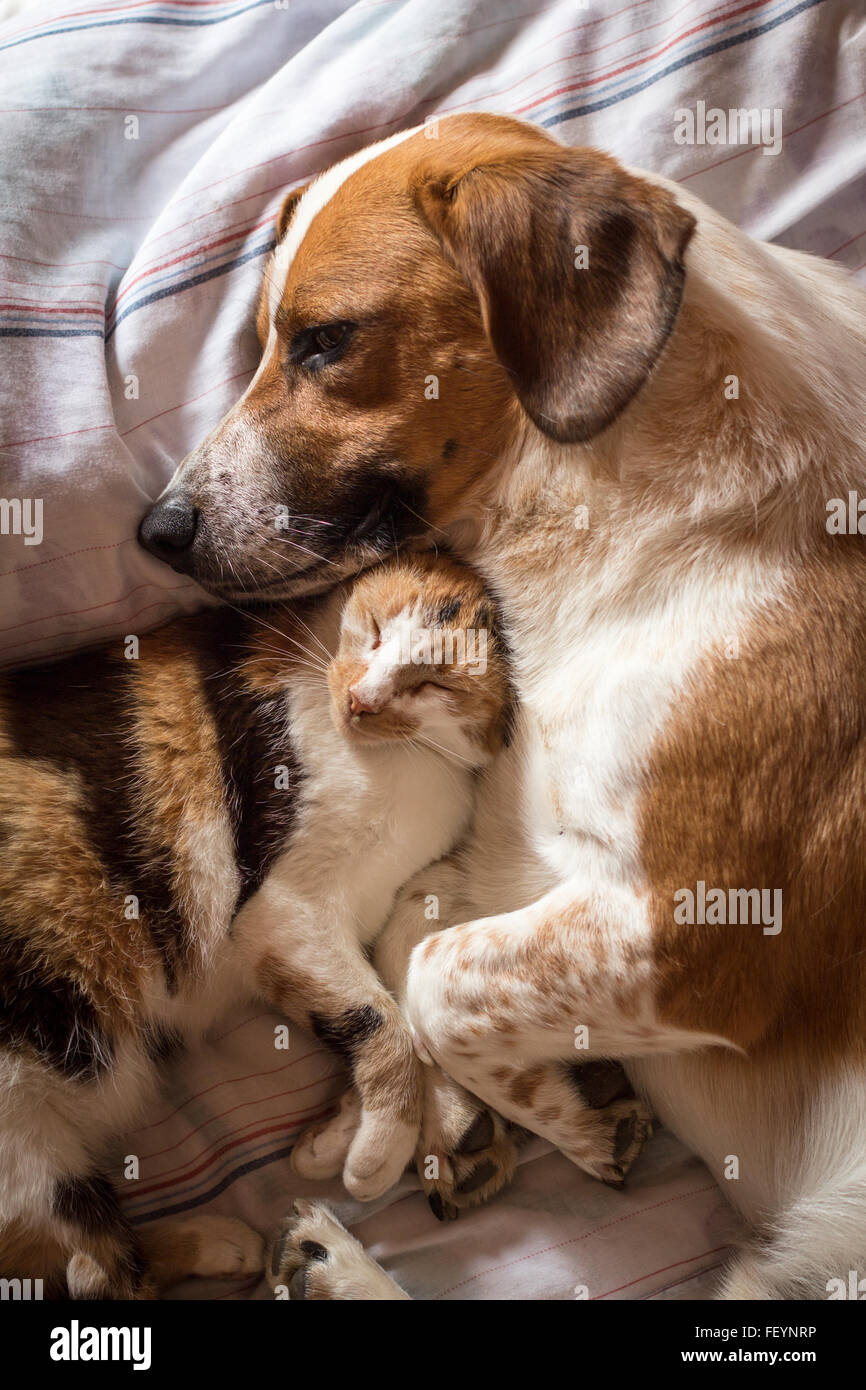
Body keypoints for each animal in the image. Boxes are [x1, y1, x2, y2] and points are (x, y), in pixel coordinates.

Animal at [0, 547, 511, 1295]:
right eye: (374, 629)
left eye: (432, 680)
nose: (360, 700)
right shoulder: (281, 910)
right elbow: (384, 1025)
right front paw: (375, 1156)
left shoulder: (353, 921)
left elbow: (390, 1008)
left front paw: (330, 1140)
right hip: (25, 1147)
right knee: (98, 1274)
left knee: (91, 1266)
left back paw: (231, 1244)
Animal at [139, 113, 866, 1295]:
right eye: (259, 341)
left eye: (324, 341)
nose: (154, 531)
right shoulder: (519, 861)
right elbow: (405, 944)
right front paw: (479, 1116)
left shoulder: (693, 924)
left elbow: (431, 978)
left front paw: (537, 1118)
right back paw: (333, 1258)